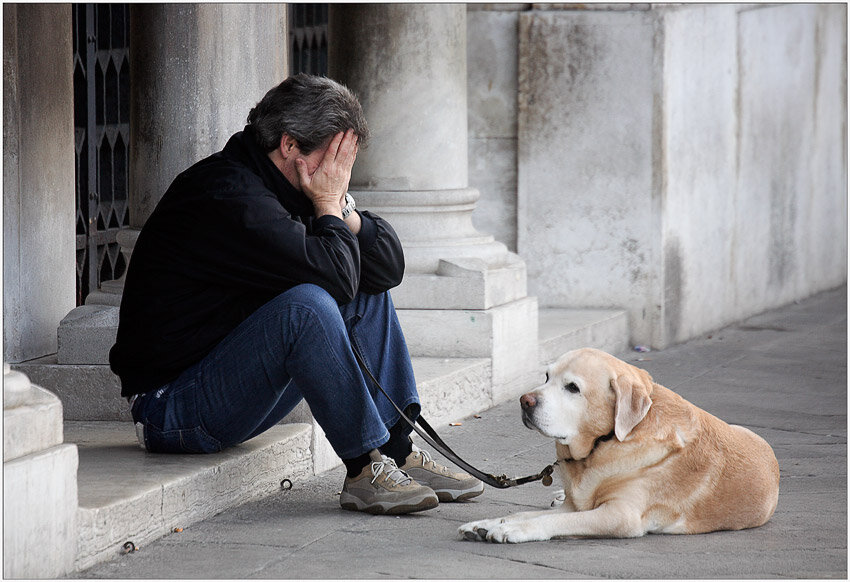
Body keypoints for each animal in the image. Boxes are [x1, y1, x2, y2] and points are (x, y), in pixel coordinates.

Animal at [460, 350, 780, 544]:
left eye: (572, 388)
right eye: (547, 377)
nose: (525, 401)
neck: (603, 445)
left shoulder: (620, 516)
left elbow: (554, 522)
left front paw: (512, 529)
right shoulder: (575, 505)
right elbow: (526, 513)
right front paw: (486, 524)